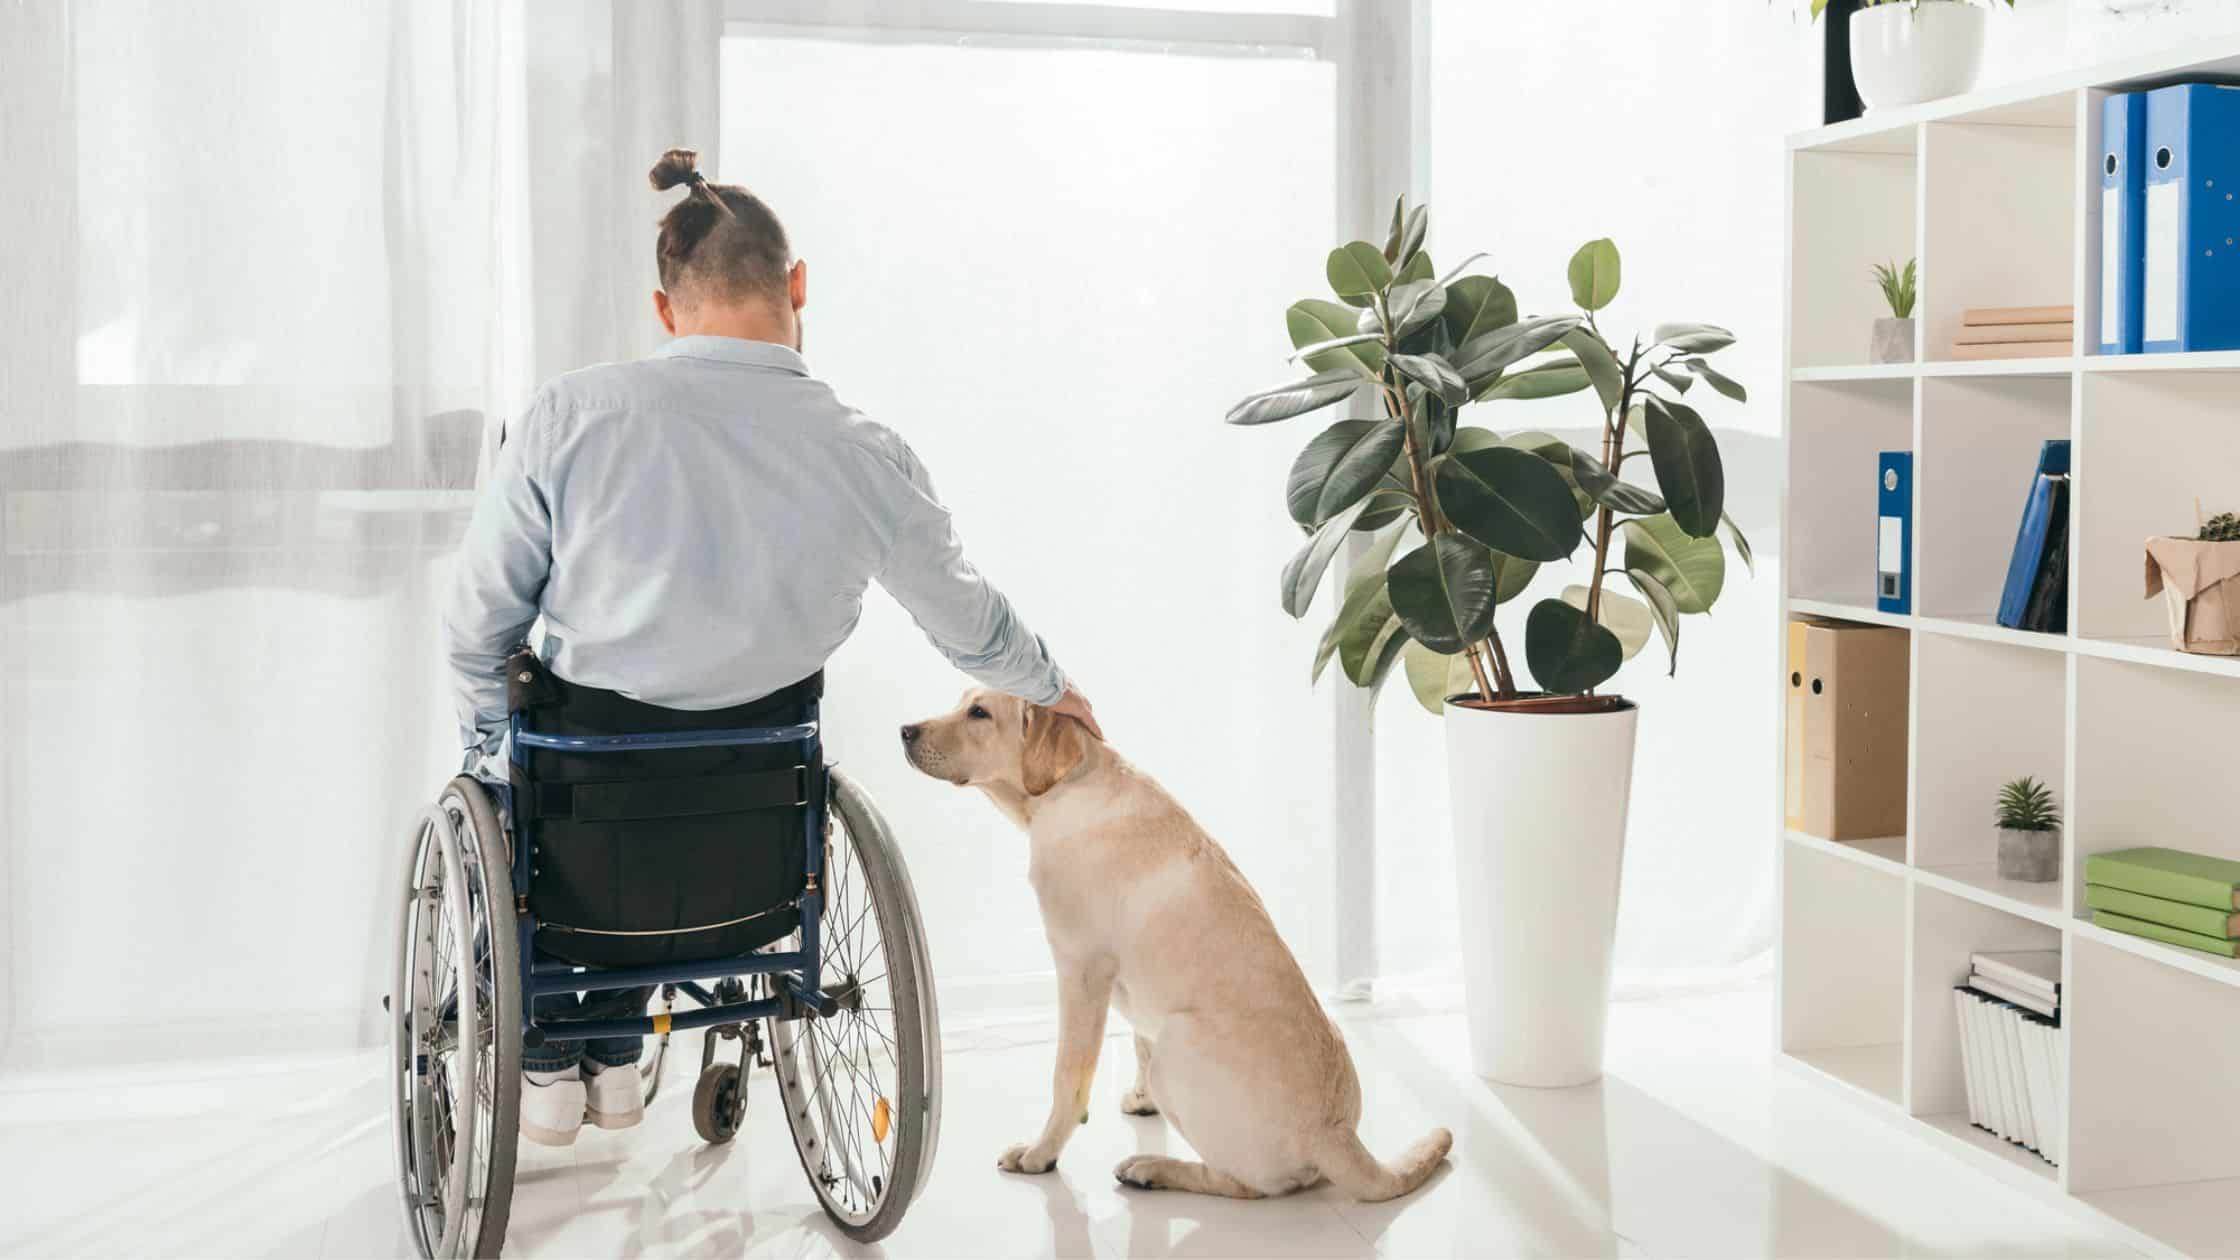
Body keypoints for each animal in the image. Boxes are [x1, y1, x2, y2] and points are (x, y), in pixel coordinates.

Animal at [900, 695, 1460, 1192]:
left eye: (978, 712)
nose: (905, 730)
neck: (1069, 786)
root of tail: (1335, 1132)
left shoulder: (1081, 970)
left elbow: (1066, 1079)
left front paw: (1040, 1155)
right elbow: (1137, 1041)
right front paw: (1141, 1100)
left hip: (1180, 1042)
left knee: (1249, 1185)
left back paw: (1154, 1169)